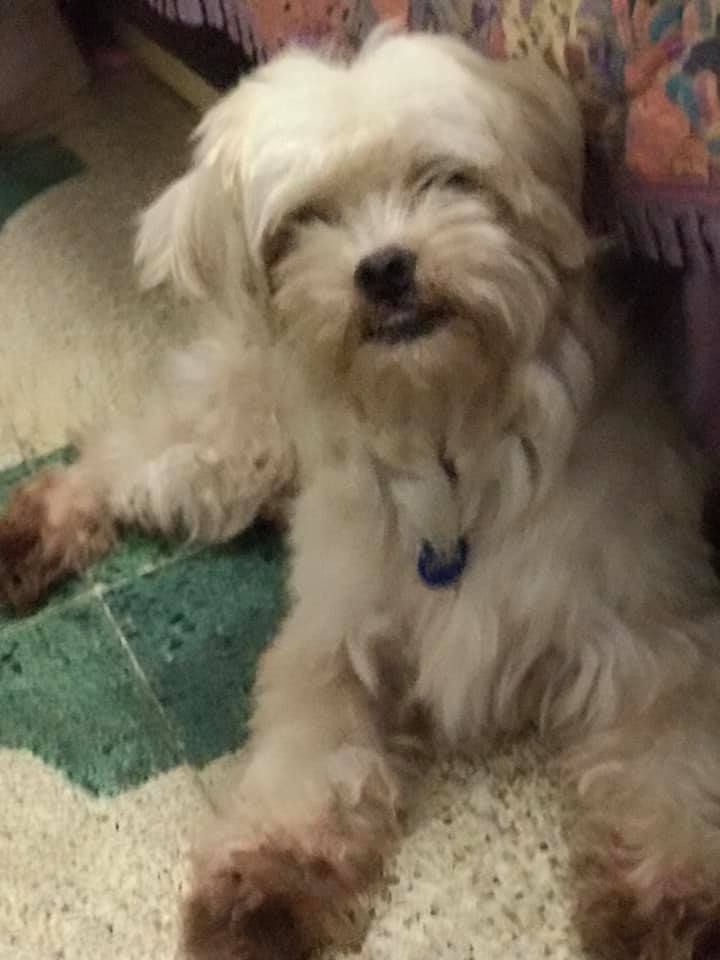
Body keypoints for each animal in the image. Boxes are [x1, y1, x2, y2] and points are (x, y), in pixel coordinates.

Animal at [3, 26, 720, 960]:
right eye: (304, 220)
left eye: (445, 177)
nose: (383, 269)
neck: (445, 433)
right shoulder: (329, 638)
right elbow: (309, 762)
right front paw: (263, 889)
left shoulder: (655, 638)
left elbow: (669, 772)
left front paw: (671, 907)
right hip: (229, 449)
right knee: (115, 454)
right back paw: (34, 531)